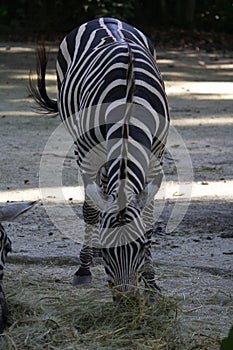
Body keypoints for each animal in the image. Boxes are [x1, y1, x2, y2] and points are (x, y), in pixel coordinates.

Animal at [30, 17, 170, 300]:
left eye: (140, 246)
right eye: (107, 249)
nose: (126, 302)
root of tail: (105, 18)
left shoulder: (155, 157)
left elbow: (148, 218)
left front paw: (151, 282)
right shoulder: (87, 152)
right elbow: (90, 210)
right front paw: (83, 269)